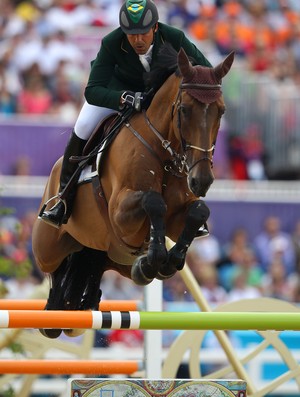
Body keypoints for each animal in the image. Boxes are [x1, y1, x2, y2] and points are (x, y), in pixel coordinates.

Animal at [32, 45, 234, 338]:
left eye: (221, 111)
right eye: (184, 110)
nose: (202, 180)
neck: (165, 153)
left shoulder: (178, 219)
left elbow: (198, 210)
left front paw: (166, 262)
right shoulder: (120, 213)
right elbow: (153, 201)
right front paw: (155, 259)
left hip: (113, 258)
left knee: (89, 268)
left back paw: (83, 303)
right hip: (47, 249)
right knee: (55, 268)